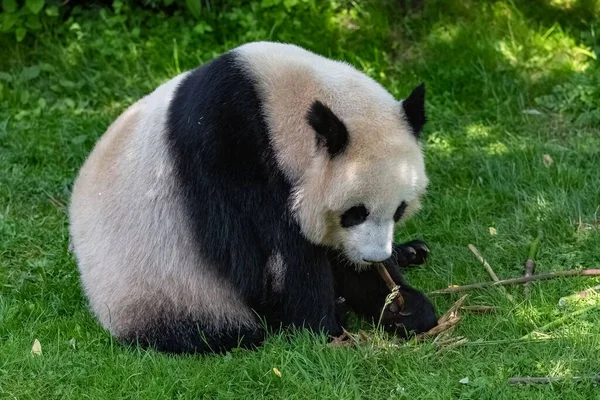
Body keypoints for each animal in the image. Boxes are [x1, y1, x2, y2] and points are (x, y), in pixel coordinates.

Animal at [69, 40, 436, 354]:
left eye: (399, 210)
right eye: (355, 213)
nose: (373, 258)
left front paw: (403, 307)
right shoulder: (228, 150)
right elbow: (263, 256)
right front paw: (323, 322)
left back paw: (410, 251)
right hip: (162, 290)